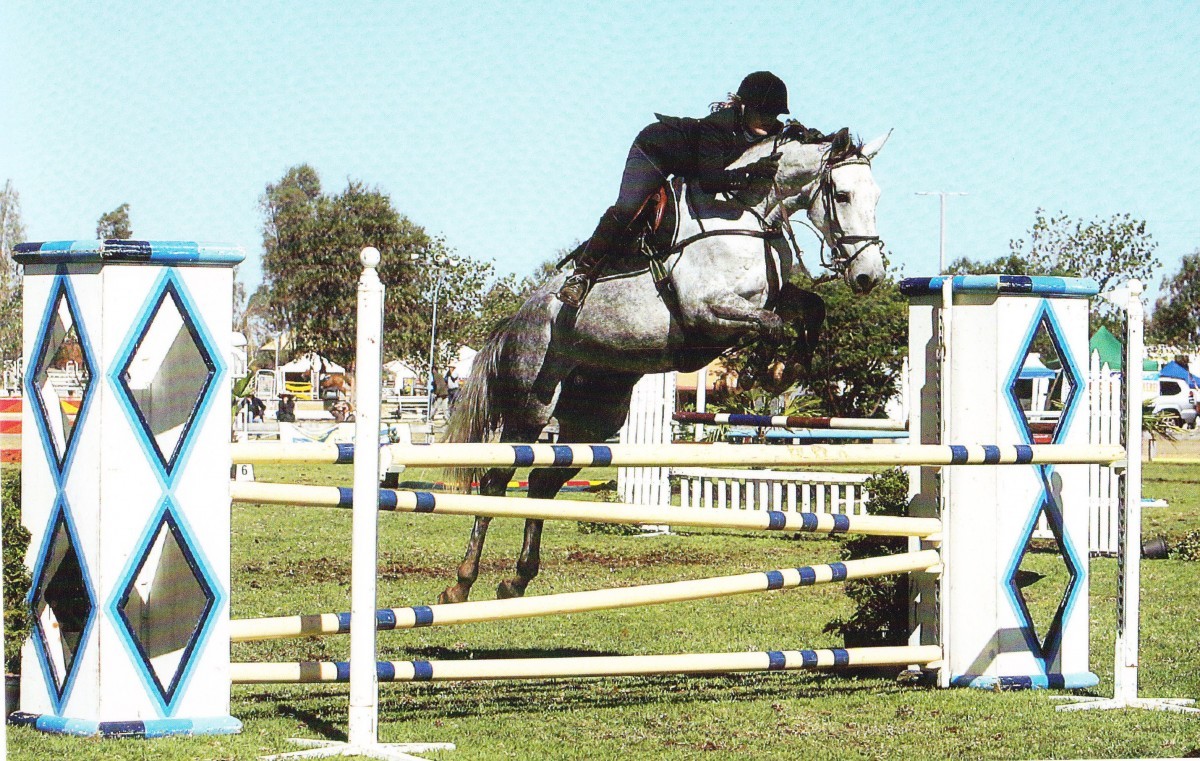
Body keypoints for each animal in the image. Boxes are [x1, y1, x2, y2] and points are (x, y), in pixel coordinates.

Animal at [438, 127, 890, 604]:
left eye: (876, 196)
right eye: (841, 195)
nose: (869, 276)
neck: (749, 218)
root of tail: (515, 322)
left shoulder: (770, 298)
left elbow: (809, 309)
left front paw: (787, 370)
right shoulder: (706, 312)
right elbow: (770, 324)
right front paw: (764, 371)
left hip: (596, 417)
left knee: (542, 484)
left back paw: (517, 579)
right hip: (531, 408)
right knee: (495, 482)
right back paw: (460, 584)